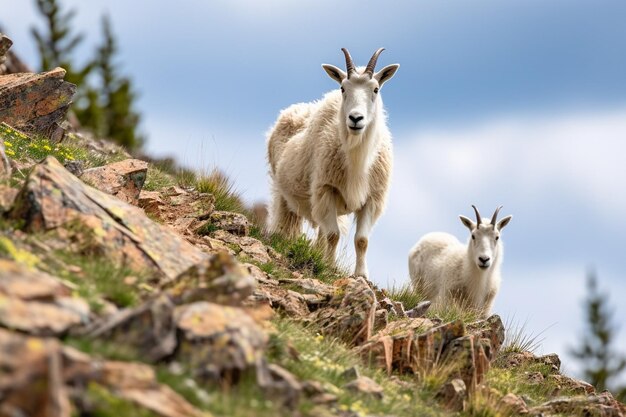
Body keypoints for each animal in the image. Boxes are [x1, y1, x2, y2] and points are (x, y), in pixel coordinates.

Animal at [266, 47, 398, 278]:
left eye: (375, 89)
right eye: (343, 88)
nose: (355, 119)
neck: (357, 158)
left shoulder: (372, 198)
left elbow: (361, 240)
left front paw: (361, 275)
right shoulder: (327, 188)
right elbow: (333, 236)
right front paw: (329, 267)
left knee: (320, 232)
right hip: (283, 191)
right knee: (288, 221)